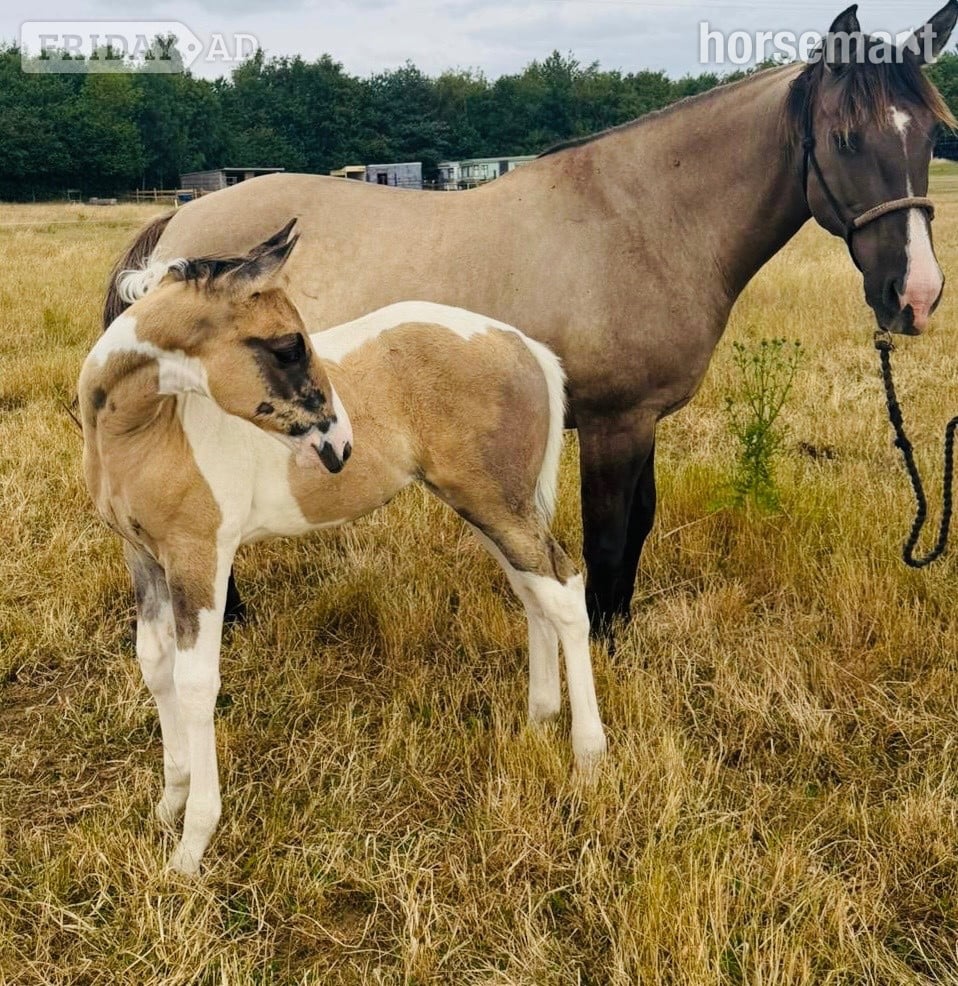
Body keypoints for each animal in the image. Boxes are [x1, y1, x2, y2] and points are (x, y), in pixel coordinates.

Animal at [80, 227, 607, 875]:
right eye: (288, 347)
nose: (340, 446)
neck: (147, 430)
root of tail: (525, 344)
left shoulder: (200, 556)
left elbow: (196, 682)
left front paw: (190, 847)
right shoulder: (143, 556)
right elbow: (155, 666)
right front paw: (167, 805)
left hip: (497, 503)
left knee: (565, 592)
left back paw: (588, 755)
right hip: (487, 503)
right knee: (533, 592)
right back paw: (539, 720)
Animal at [103, 3, 958, 635]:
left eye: (930, 136)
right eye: (846, 138)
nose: (915, 296)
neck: (642, 221)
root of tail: (177, 229)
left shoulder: (638, 419)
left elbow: (638, 524)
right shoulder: (614, 422)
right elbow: (609, 536)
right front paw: (602, 644)